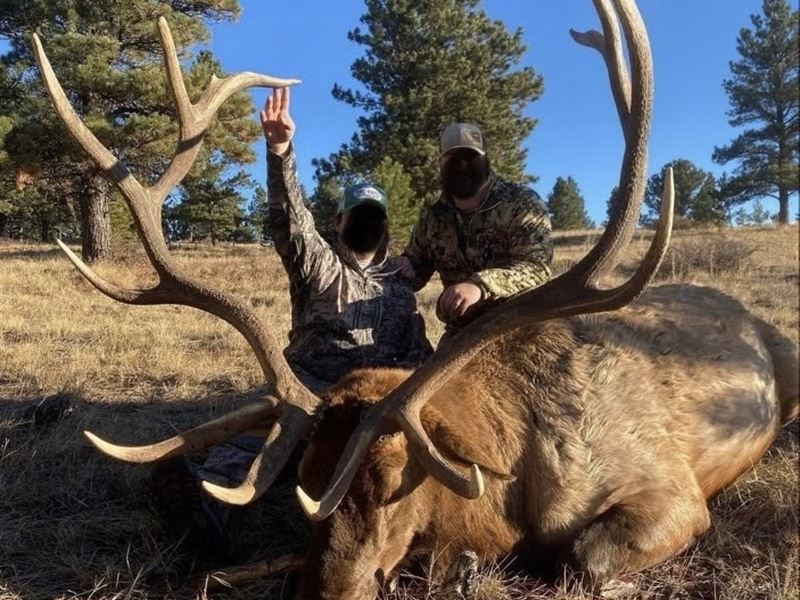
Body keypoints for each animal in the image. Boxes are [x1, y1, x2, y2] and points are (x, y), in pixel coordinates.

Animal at [32, 0, 800, 596]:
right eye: (305, 481)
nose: (328, 592)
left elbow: (583, 559)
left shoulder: (670, 491)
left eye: (395, 483)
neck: (516, 471)